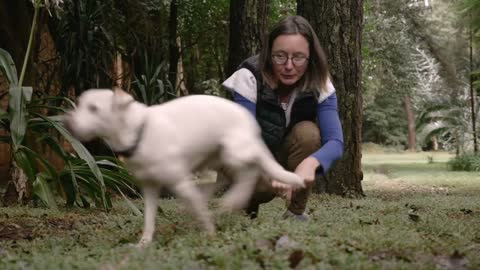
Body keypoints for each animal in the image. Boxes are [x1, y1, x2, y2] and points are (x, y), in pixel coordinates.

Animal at [64, 89, 304, 247]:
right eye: (79, 104)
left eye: (93, 108)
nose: (67, 124)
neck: (139, 132)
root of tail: (253, 126)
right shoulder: (149, 188)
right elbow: (149, 218)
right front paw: (144, 243)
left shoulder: (180, 182)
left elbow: (199, 210)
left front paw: (209, 233)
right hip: (218, 159)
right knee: (223, 180)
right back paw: (219, 202)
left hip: (234, 151)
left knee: (249, 173)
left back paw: (229, 201)